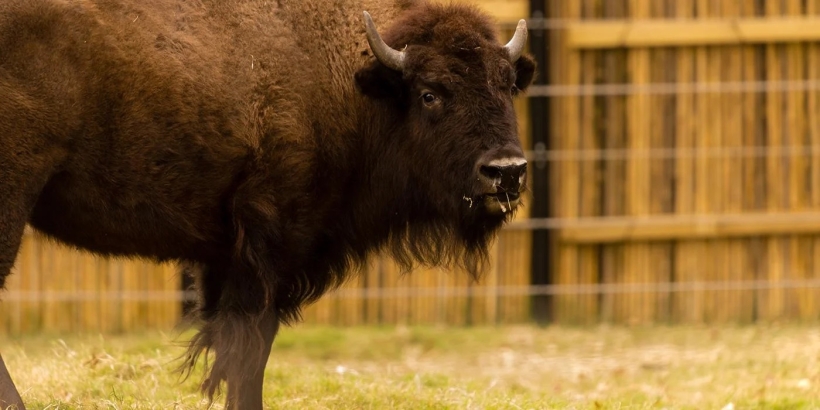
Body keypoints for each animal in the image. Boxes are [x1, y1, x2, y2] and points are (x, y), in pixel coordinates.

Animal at [0, 0, 535, 408]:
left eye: (506, 85)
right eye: (429, 94)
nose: (506, 171)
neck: (355, 85)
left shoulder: (227, 259)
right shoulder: (268, 248)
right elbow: (248, 349)